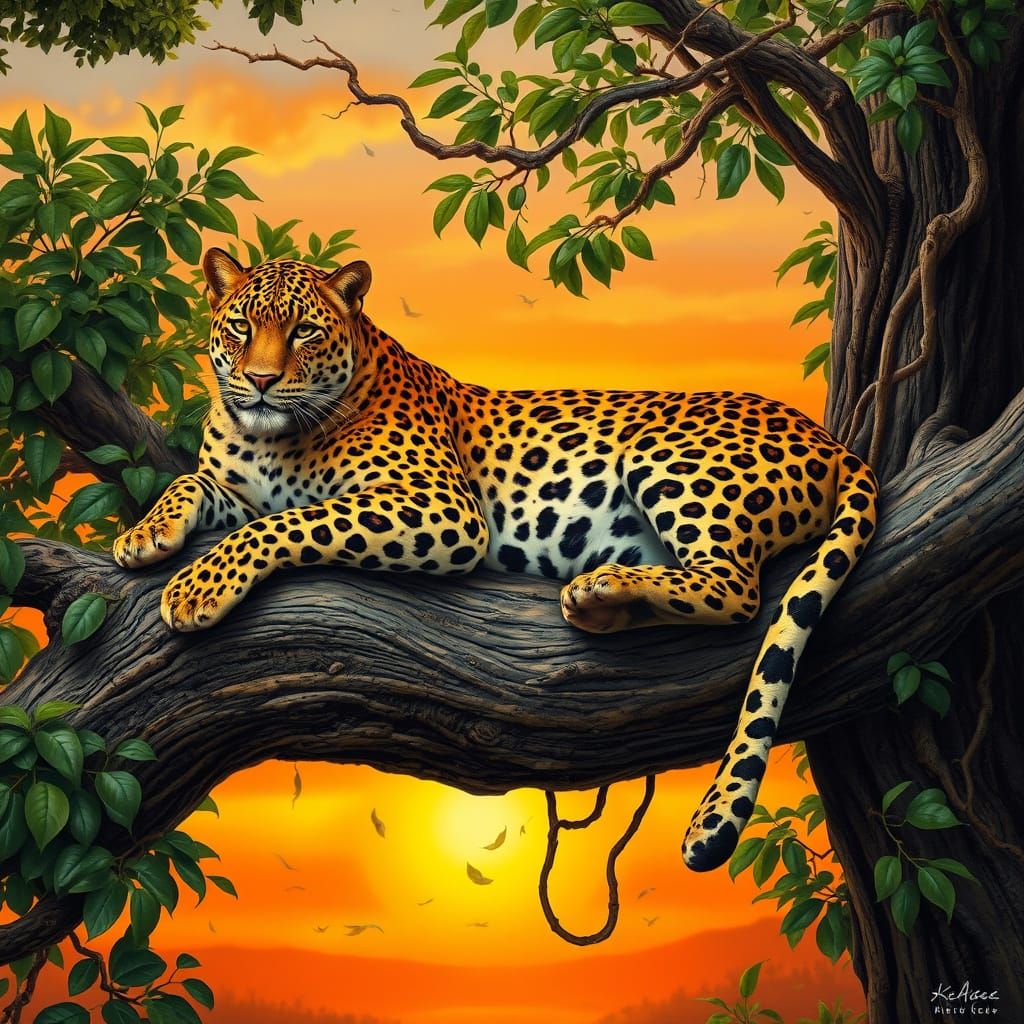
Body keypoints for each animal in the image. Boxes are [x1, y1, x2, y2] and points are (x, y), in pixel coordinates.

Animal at [113, 249, 878, 873]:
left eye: (304, 331)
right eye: (241, 328)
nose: (263, 381)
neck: (270, 439)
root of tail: (829, 437)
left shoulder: (440, 507)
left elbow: (289, 520)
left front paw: (196, 590)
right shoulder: (233, 485)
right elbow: (191, 483)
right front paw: (143, 535)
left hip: (671, 458)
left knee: (737, 588)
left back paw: (600, 590)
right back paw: (605, 603)